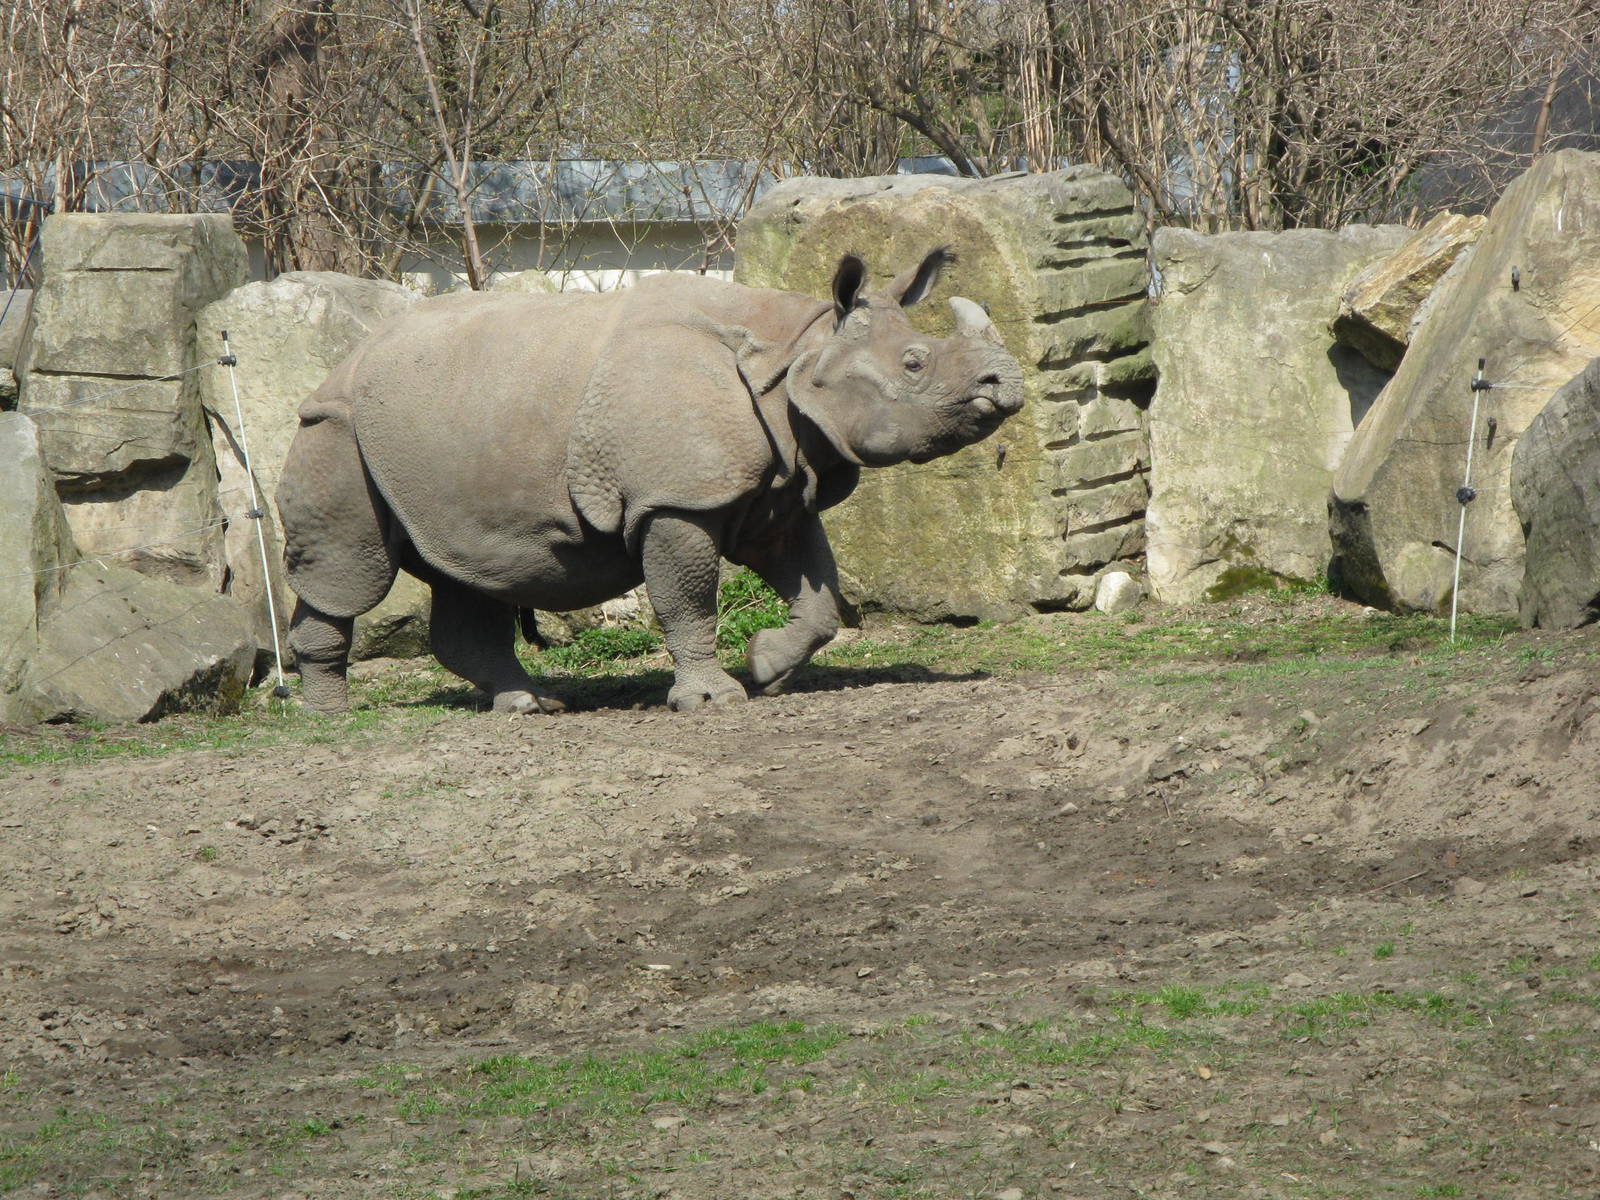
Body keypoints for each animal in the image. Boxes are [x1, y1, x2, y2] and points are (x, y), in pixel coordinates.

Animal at [276, 249, 1023, 714]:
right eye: (915, 363)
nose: (1006, 384)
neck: (798, 352)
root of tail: (341, 365)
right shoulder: (677, 499)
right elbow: (687, 600)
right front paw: (714, 700)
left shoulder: (777, 493)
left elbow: (818, 603)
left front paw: (767, 669)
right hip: (335, 430)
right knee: (351, 572)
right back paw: (331, 719)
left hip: (441, 429)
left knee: (469, 571)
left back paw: (530, 706)